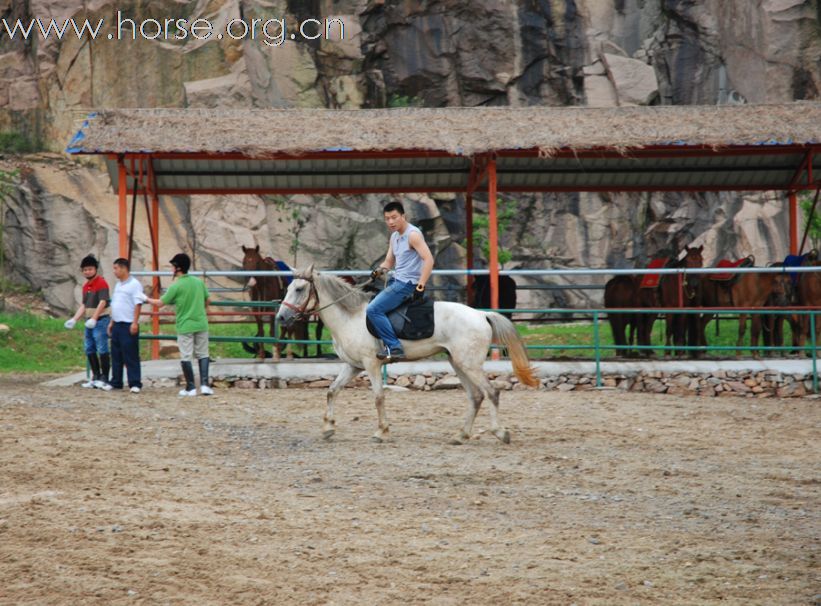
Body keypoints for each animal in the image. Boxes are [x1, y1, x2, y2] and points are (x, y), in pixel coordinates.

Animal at [276, 266, 540, 446]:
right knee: (476, 397)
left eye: (299, 289)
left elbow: (378, 397)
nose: (281, 318)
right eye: (287, 288)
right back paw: (461, 435)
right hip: (458, 363)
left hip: (469, 364)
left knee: (491, 393)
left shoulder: (371, 364)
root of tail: (482, 314)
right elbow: (332, 391)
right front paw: (328, 429)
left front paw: (381, 431)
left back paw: (500, 432)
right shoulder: (352, 365)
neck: (350, 317)